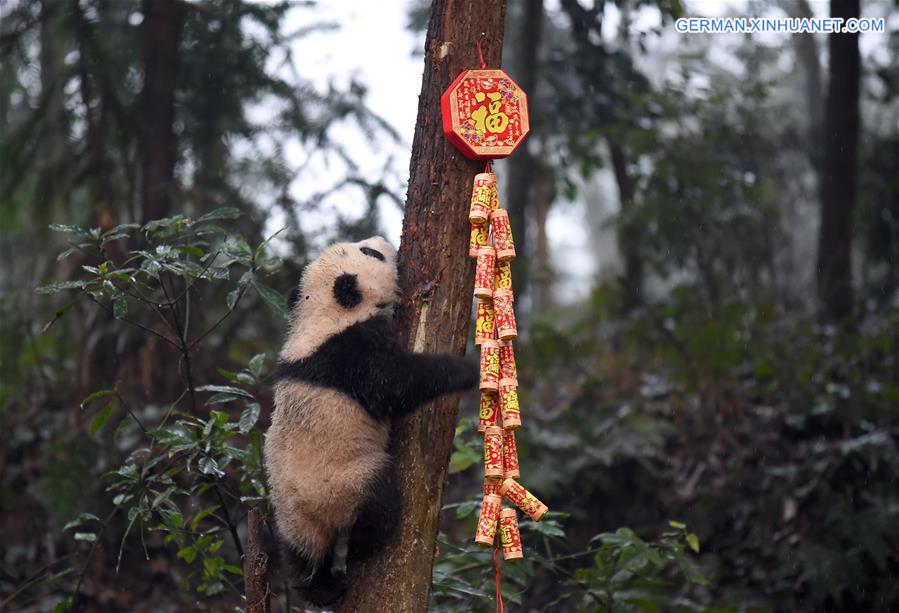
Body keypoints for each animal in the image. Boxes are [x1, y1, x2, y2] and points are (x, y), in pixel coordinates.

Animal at [266, 237, 482, 604]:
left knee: (301, 554)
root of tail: (314, 512)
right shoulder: (351, 354)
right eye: (370, 254)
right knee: (378, 503)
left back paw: (319, 587)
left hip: (290, 513)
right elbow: (395, 385)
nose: (382, 241)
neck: (320, 315)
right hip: (344, 481)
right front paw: (466, 370)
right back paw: (359, 546)